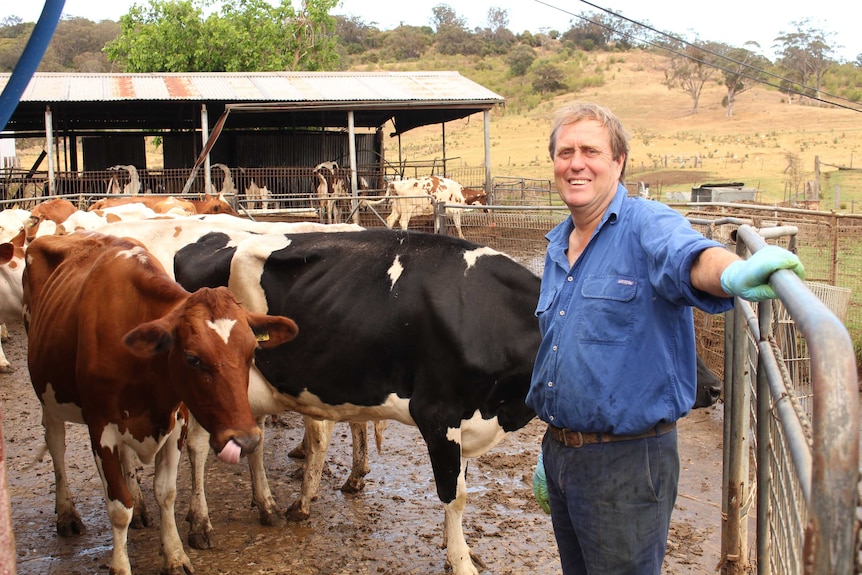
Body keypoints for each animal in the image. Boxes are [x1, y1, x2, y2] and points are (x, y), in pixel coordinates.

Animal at [23, 232, 300, 575]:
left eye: (251, 353)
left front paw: (175, 555)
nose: (246, 439)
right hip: (47, 396)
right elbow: (118, 507)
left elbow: (166, 493)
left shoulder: (175, 421)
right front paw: (121, 565)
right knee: (56, 446)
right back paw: (67, 513)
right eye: (192, 358)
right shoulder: (101, 427)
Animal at [172, 230, 544, 575]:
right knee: (197, 445)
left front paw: (455, 546)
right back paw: (200, 523)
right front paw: (461, 561)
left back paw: (266, 506)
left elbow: (459, 482)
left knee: (251, 441)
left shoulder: (466, 420)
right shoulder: (437, 412)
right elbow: (455, 495)